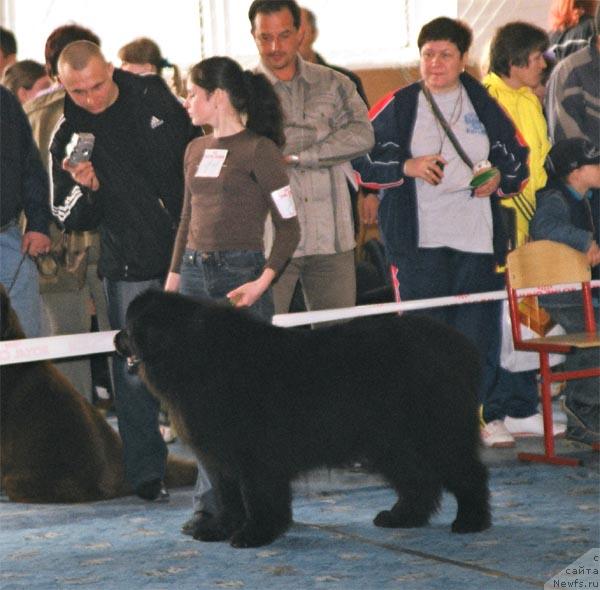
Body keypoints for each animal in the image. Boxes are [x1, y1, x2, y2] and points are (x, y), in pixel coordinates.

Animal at [115, 292, 490, 552]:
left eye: (130, 327)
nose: (115, 337)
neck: (193, 355)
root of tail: (456, 344)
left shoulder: (254, 458)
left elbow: (257, 498)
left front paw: (254, 535)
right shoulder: (222, 458)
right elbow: (228, 497)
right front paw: (219, 529)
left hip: (435, 434)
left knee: (468, 473)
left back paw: (470, 521)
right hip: (392, 443)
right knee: (418, 482)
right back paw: (401, 517)